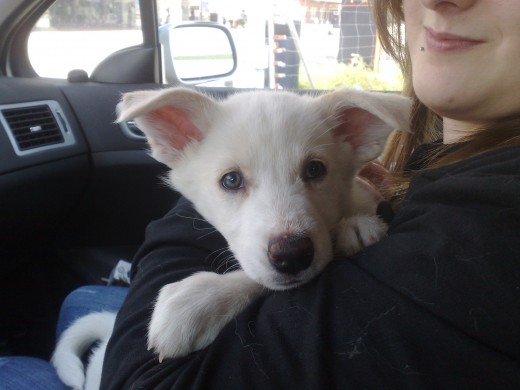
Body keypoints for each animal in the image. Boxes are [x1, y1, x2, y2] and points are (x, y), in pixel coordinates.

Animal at [52, 87, 410, 388]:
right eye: (231, 180)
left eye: (315, 170)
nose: (293, 254)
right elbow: (257, 274)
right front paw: (196, 303)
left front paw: (355, 227)